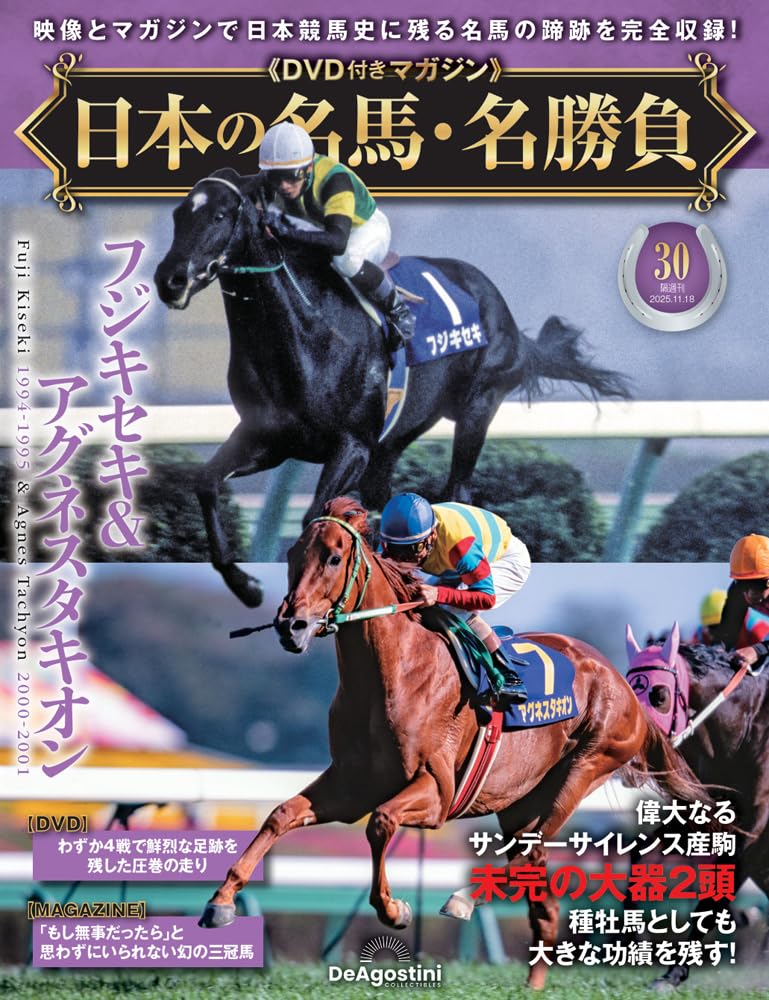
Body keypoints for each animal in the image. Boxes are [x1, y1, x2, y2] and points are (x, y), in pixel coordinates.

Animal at [154, 168, 630, 607]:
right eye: (178, 214)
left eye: (219, 215)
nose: (169, 279)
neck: (309, 334)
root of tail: (502, 310)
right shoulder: (266, 439)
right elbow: (206, 482)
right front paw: (247, 586)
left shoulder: (353, 444)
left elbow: (316, 519)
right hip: (396, 439)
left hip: (477, 407)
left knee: (458, 491)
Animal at [199, 497, 712, 989]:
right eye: (291, 555)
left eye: (334, 557)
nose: (291, 626)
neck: (394, 670)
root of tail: (623, 685)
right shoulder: (350, 784)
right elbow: (282, 814)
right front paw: (221, 901)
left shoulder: (438, 792)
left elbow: (380, 824)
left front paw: (395, 910)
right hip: (518, 801)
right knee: (539, 893)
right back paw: (532, 980)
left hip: (583, 769)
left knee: (525, 851)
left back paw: (464, 899)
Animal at [626, 623, 769, 988]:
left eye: (659, 695)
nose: (631, 758)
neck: (744, 728)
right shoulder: (702, 813)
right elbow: (638, 851)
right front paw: (632, 934)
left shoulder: (753, 831)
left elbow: (715, 896)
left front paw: (674, 973)